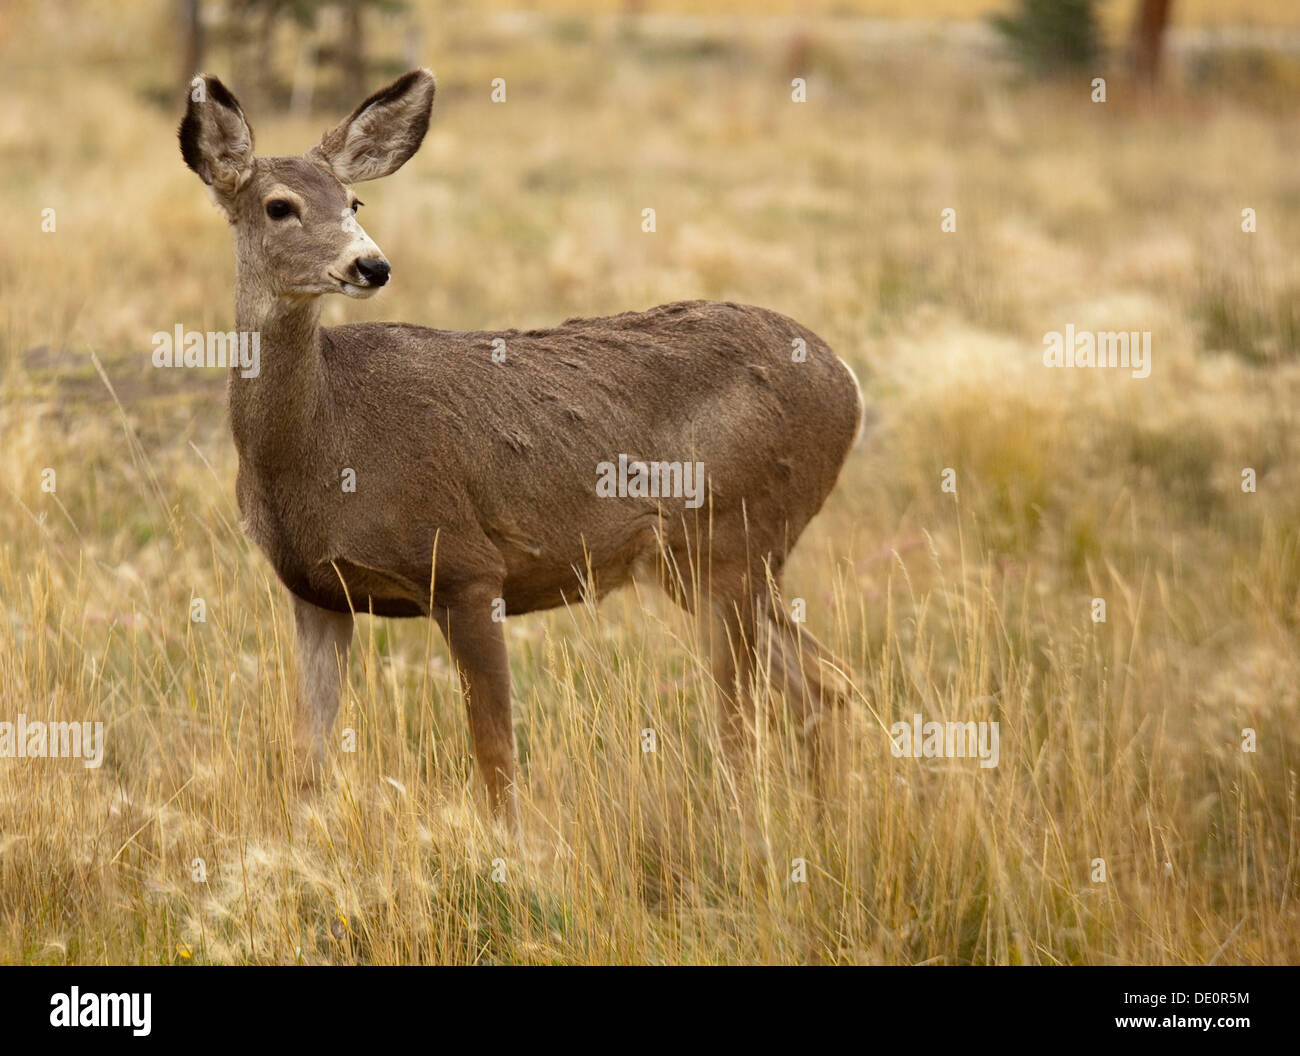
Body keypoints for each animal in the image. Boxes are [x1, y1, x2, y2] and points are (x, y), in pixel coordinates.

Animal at [172, 67, 863, 832]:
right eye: (279, 206)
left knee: (748, 720)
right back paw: (829, 822)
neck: (323, 440)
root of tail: (848, 382)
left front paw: (509, 850)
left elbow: (496, 758)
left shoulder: (466, 567)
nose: (371, 264)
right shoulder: (316, 593)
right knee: (827, 684)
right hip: (706, 563)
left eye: (353, 199)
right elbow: (305, 762)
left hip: (734, 539)